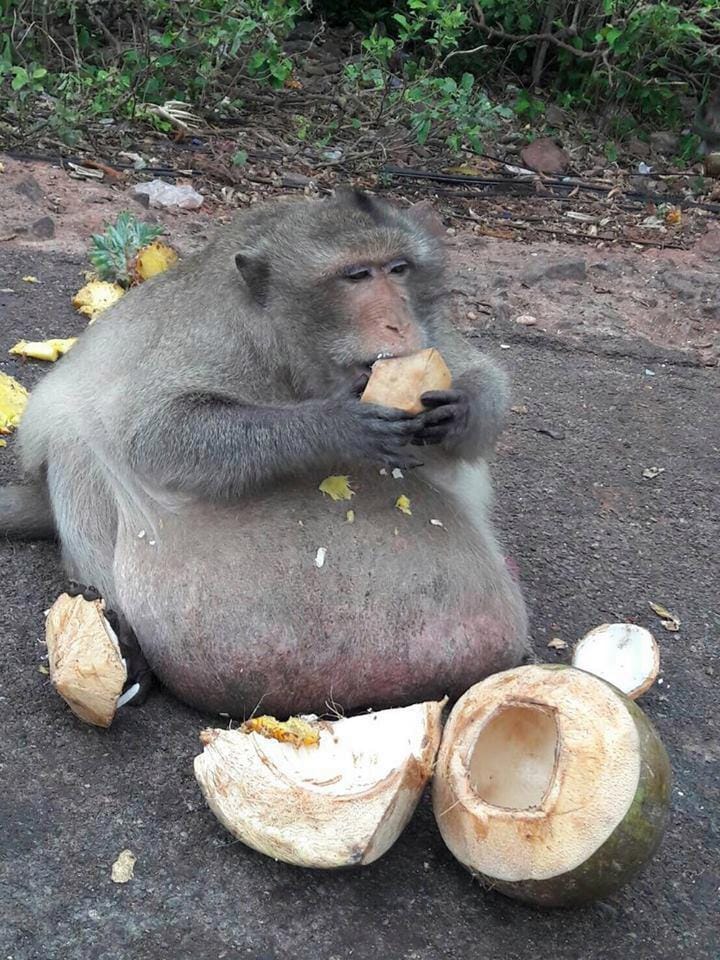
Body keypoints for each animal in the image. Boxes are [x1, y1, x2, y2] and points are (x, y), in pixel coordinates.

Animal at [1, 188, 528, 717]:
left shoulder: (432, 327)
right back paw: (125, 647)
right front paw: (333, 426)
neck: (291, 352)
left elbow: (484, 381)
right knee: (77, 443)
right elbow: (156, 432)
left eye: (398, 268)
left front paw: (460, 410)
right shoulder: (215, 330)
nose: (398, 322)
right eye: (357, 276)